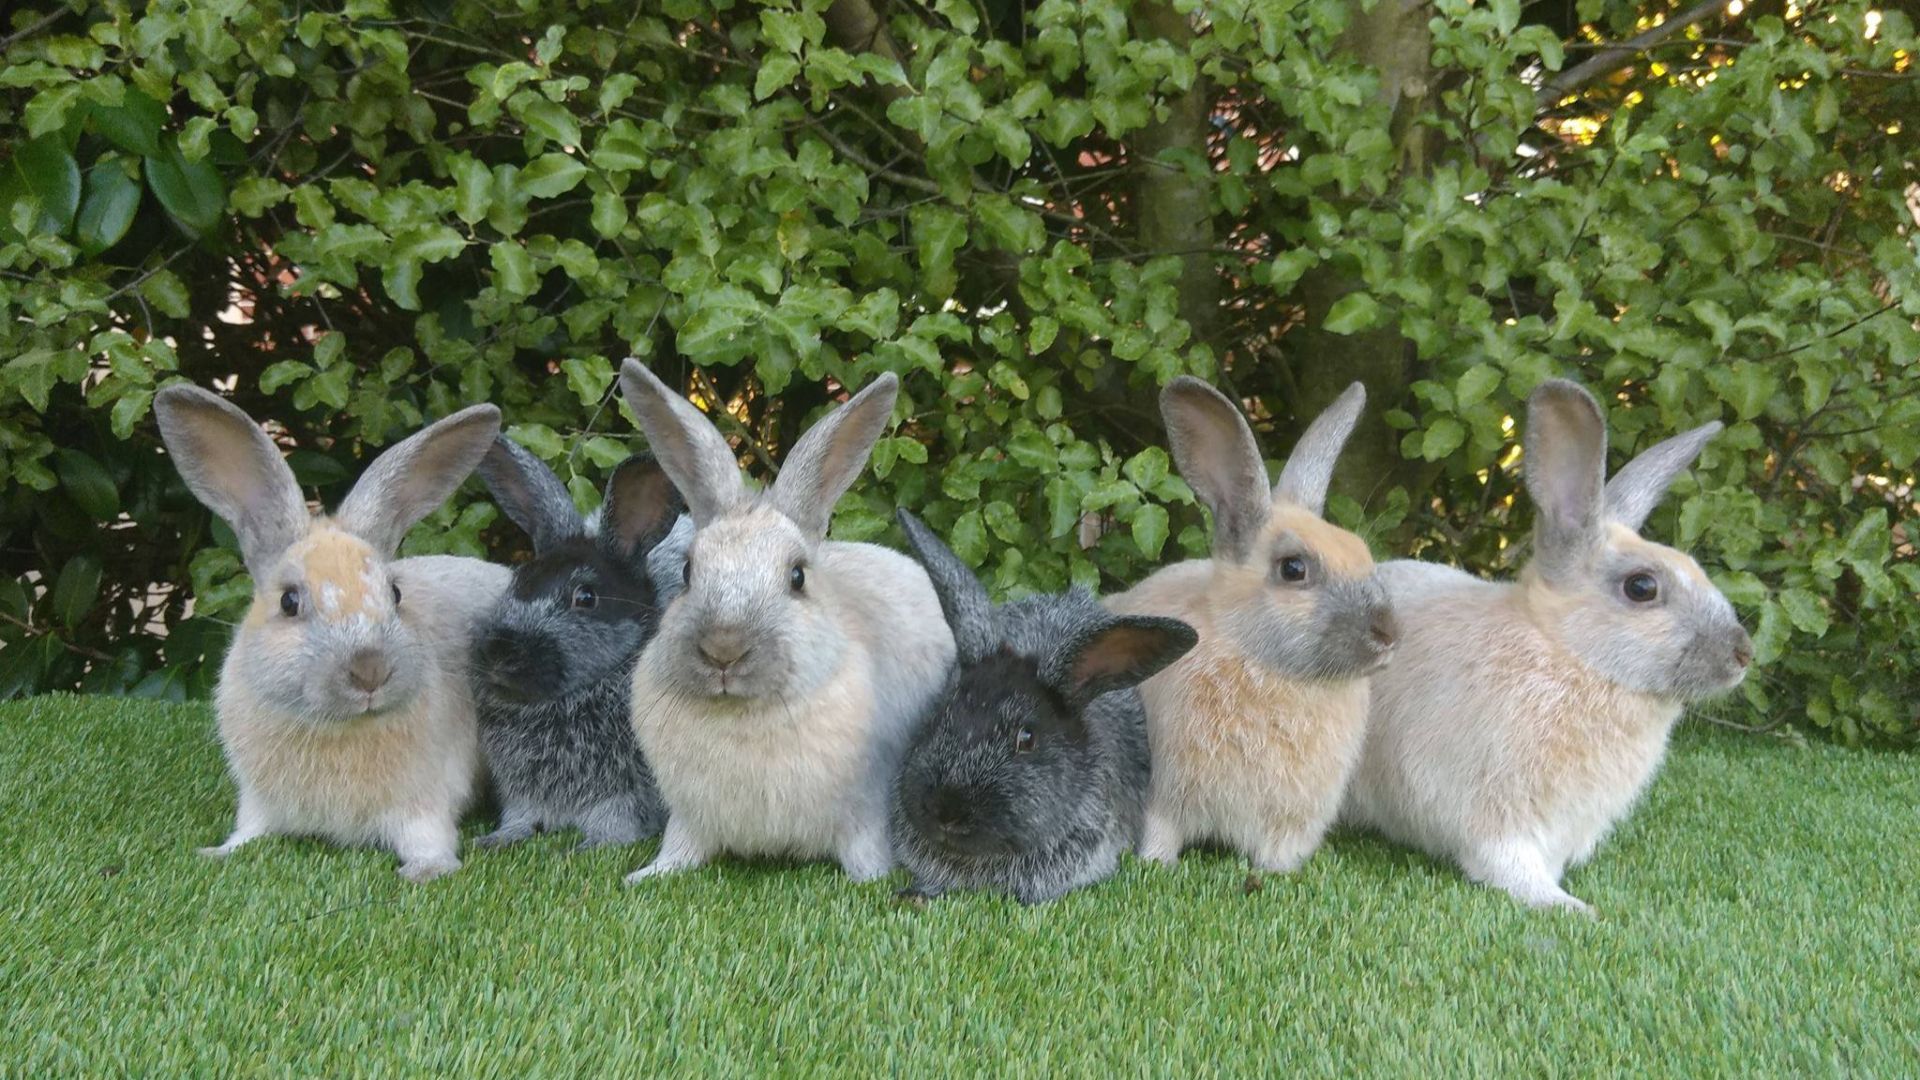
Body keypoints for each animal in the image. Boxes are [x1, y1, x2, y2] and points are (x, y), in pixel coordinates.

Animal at [153, 384, 510, 883]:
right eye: (289, 602)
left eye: (395, 593)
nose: (370, 670)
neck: (334, 727)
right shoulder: (258, 802)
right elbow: (249, 832)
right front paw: (216, 853)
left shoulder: (424, 804)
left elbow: (430, 840)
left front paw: (424, 872)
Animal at [468, 437, 687, 851]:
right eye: (517, 581)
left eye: (585, 598)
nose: (501, 654)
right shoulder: (523, 793)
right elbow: (520, 817)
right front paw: (497, 838)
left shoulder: (629, 791)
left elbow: (616, 819)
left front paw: (587, 845)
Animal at [615, 361, 957, 884]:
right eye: (688, 572)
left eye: (797, 576)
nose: (723, 650)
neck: (744, 713)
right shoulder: (689, 817)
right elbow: (679, 849)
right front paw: (646, 876)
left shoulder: (864, 812)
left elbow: (866, 854)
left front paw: (879, 881)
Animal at [1107, 378, 1397, 873]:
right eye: (1293, 568)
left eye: (1362, 552)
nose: (1389, 633)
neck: (1260, 662)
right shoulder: (1163, 800)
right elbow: (1160, 835)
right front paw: (1156, 865)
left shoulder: (1291, 820)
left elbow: (1277, 854)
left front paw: (1276, 874)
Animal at [1340, 379, 1752, 914]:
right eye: (1642, 587)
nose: (1743, 654)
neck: (1568, 657)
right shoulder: (1493, 818)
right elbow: (1510, 867)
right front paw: (1572, 908)